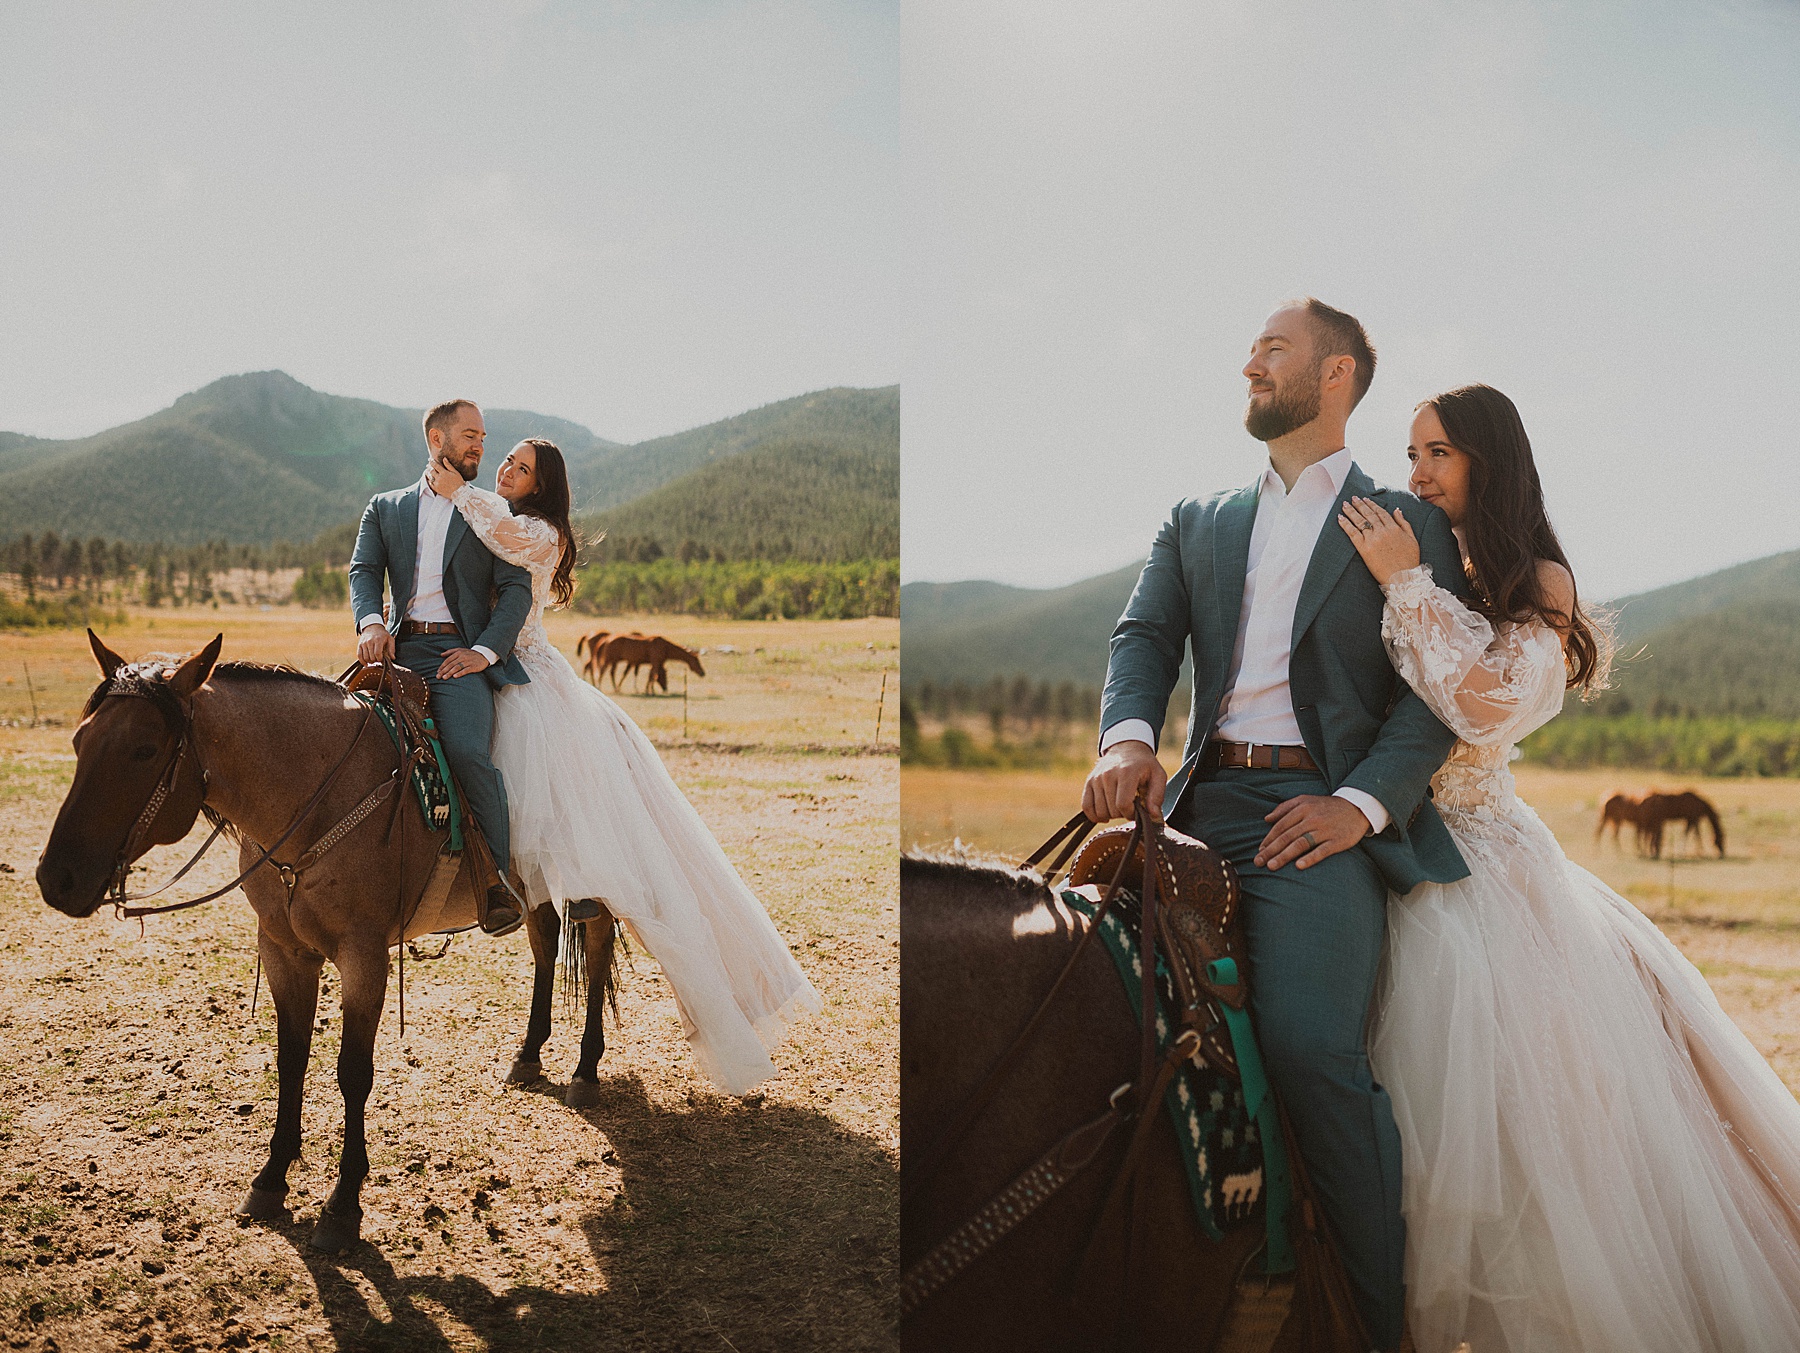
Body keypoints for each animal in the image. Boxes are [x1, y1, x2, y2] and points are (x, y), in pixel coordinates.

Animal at [35, 640, 622, 1252]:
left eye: (145, 750)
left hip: (597, 884)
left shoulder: (364, 957)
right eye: (79, 741)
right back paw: (528, 1055)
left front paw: (343, 1205)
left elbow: (352, 1072)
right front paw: (271, 1180)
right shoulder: (284, 951)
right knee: (545, 946)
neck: (316, 797)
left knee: (596, 947)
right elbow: (291, 1059)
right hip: (538, 888)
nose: (57, 878)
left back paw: (585, 1071)